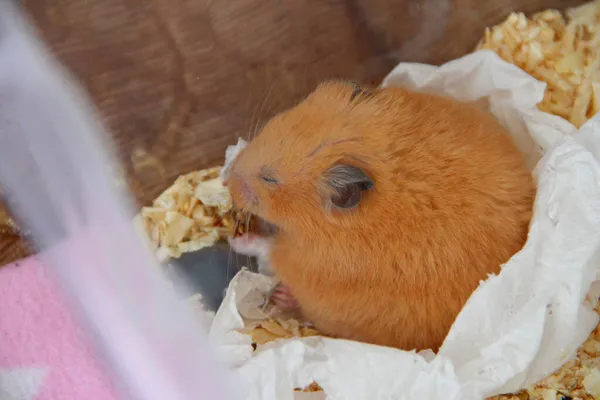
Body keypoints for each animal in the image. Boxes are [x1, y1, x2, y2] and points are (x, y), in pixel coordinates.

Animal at [225, 80, 536, 350]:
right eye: (270, 124)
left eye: (269, 178)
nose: (227, 181)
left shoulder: (303, 259)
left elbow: (267, 248)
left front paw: (236, 241)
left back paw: (281, 296)